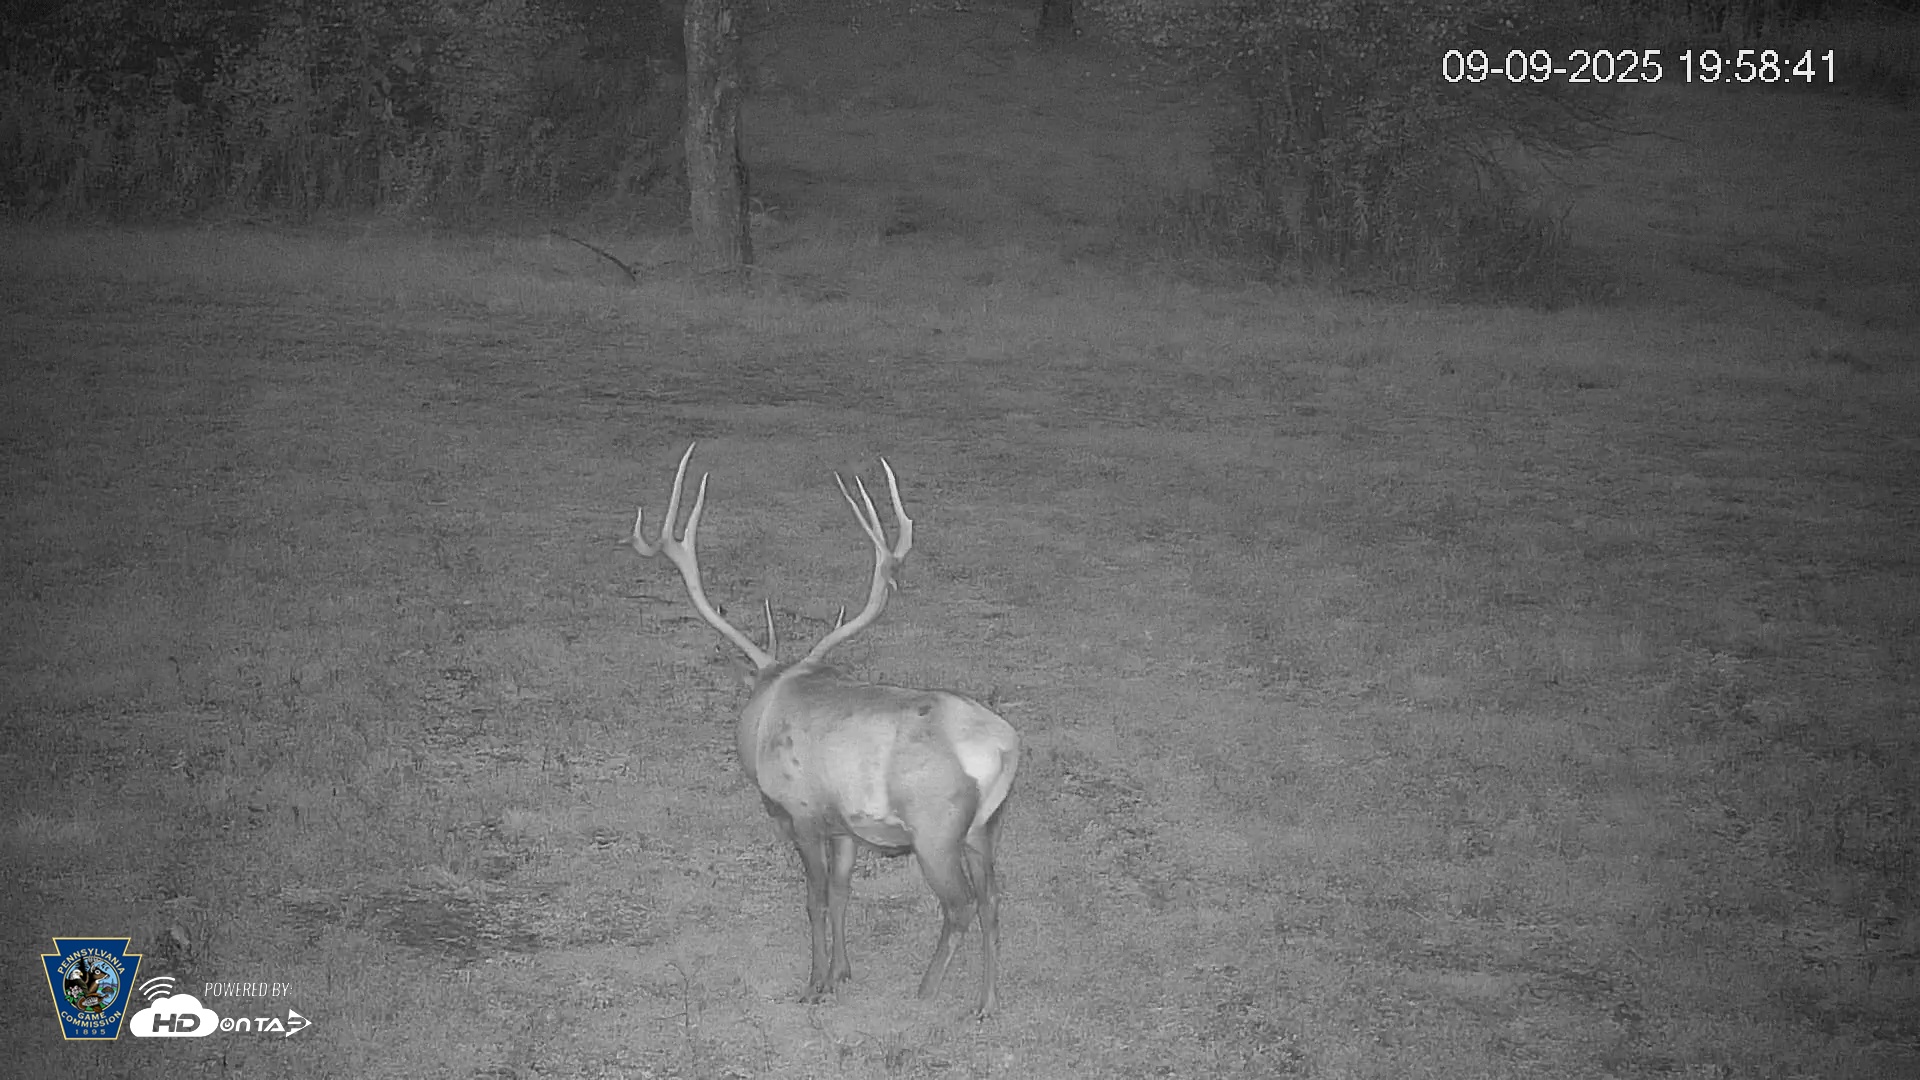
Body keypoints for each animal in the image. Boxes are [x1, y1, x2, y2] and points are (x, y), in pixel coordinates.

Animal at [627, 443, 1020, 1019]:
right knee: (993, 899)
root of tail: (1005, 748)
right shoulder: (845, 827)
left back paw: (926, 991)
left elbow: (812, 899)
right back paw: (987, 1001)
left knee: (961, 905)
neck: (767, 707)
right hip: (986, 827)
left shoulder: (803, 812)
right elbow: (839, 892)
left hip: (936, 829)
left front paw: (814, 984)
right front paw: (841, 972)